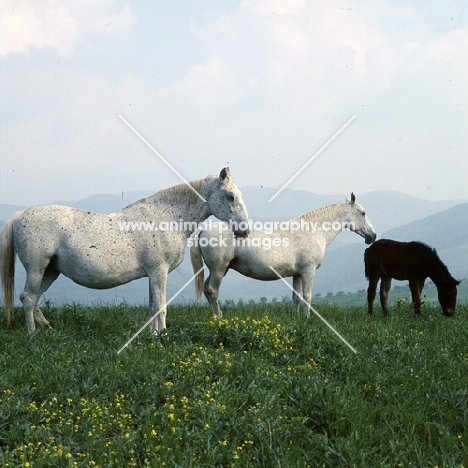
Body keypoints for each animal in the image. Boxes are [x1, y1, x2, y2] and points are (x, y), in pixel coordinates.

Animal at [0, 167, 249, 332]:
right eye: (230, 196)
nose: (244, 230)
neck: (167, 217)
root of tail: (19, 216)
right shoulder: (159, 271)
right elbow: (160, 306)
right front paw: (162, 335)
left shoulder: (152, 274)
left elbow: (152, 306)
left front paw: (152, 334)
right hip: (37, 268)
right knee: (28, 298)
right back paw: (33, 334)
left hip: (51, 270)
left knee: (32, 298)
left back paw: (47, 328)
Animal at [190, 192, 376, 316]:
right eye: (363, 213)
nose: (372, 236)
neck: (313, 231)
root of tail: (203, 229)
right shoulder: (308, 271)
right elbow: (307, 296)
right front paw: (307, 318)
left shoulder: (297, 274)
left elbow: (296, 297)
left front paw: (296, 318)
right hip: (219, 269)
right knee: (212, 290)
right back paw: (218, 317)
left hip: (219, 269)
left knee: (207, 289)